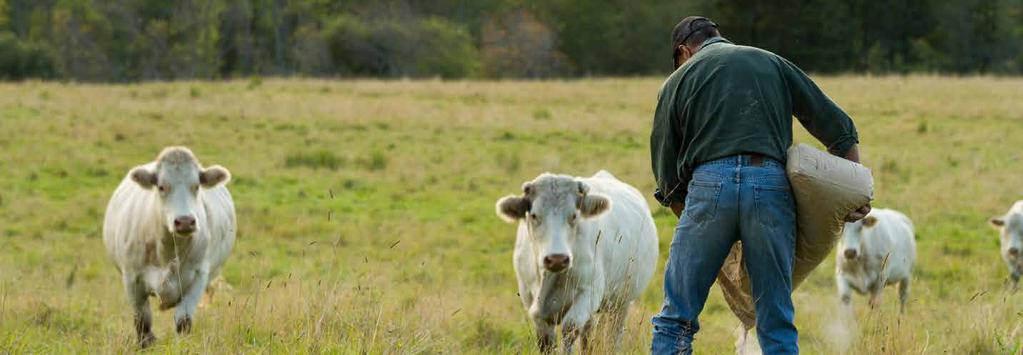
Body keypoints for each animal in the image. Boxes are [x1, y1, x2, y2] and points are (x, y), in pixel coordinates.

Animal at [102, 146, 236, 347]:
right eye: (161, 187)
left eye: (196, 186)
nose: (185, 221)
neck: (169, 252)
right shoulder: (132, 278)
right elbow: (143, 324)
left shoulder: (199, 276)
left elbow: (183, 322)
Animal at [497, 170, 658, 353]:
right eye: (534, 215)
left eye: (574, 215)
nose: (557, 259)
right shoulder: (532, 302)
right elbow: (546, 342)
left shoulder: (589, 292)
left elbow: (570, 329)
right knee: (588, 334)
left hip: (621, 302)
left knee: (614, 335)